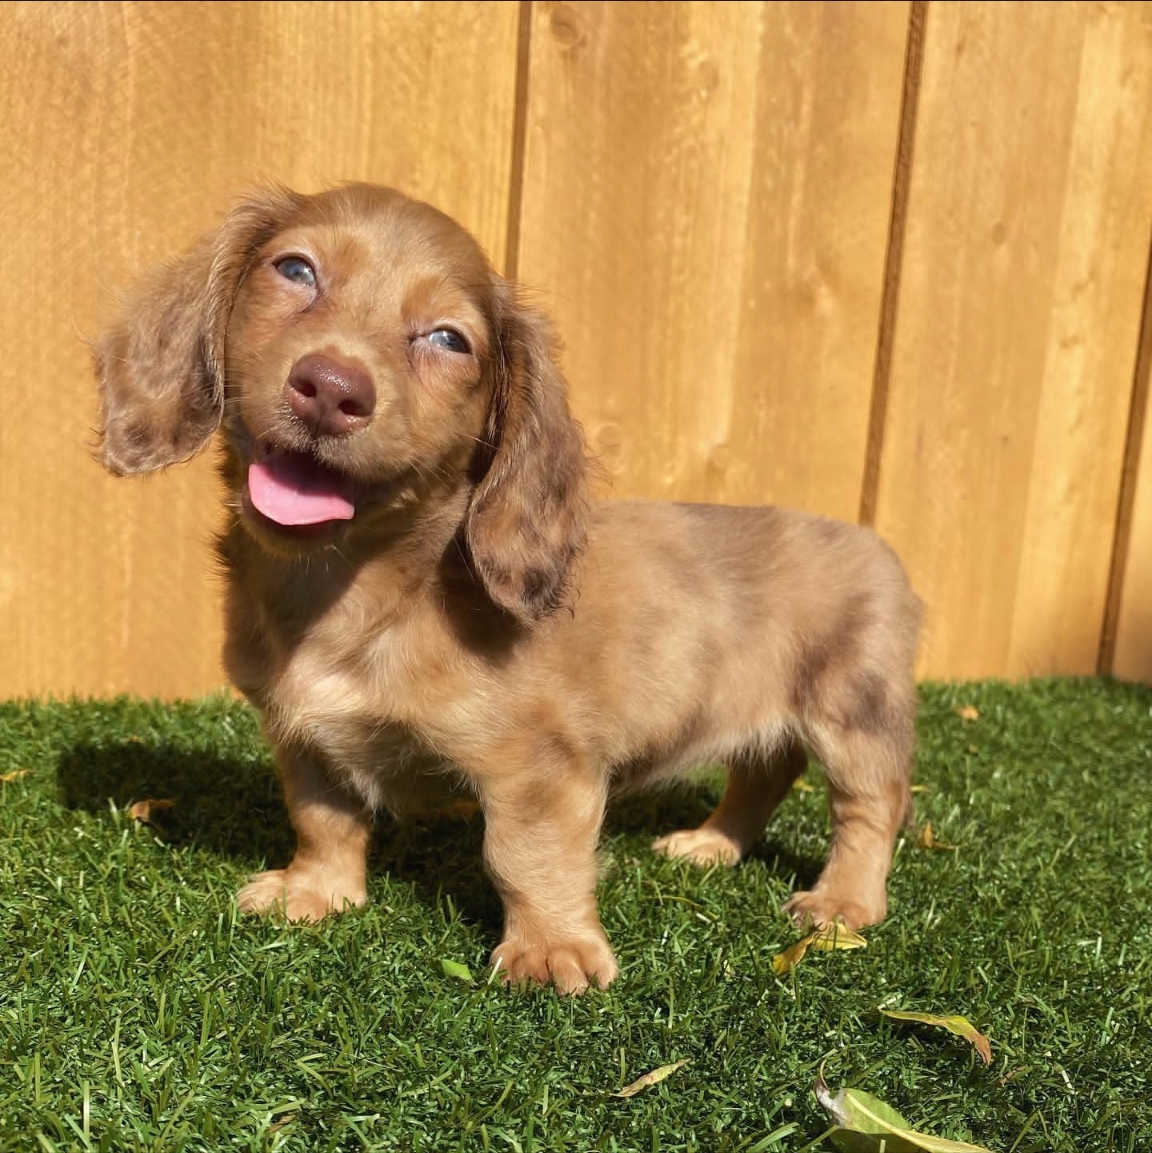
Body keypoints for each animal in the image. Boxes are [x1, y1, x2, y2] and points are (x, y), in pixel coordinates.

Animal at [101, 184, 927, 996]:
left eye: (447, 339)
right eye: (296, 270)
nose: (330, 389)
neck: (362, 593)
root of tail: (877, 544)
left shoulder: (538, 764)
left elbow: (525, 854)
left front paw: (551, 949)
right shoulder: (301, 734)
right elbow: (322, 815)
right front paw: (316, 892)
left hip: (855, 713)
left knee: (871, 807)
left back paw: (843, 903)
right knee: (764, 770)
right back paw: (711, 844)